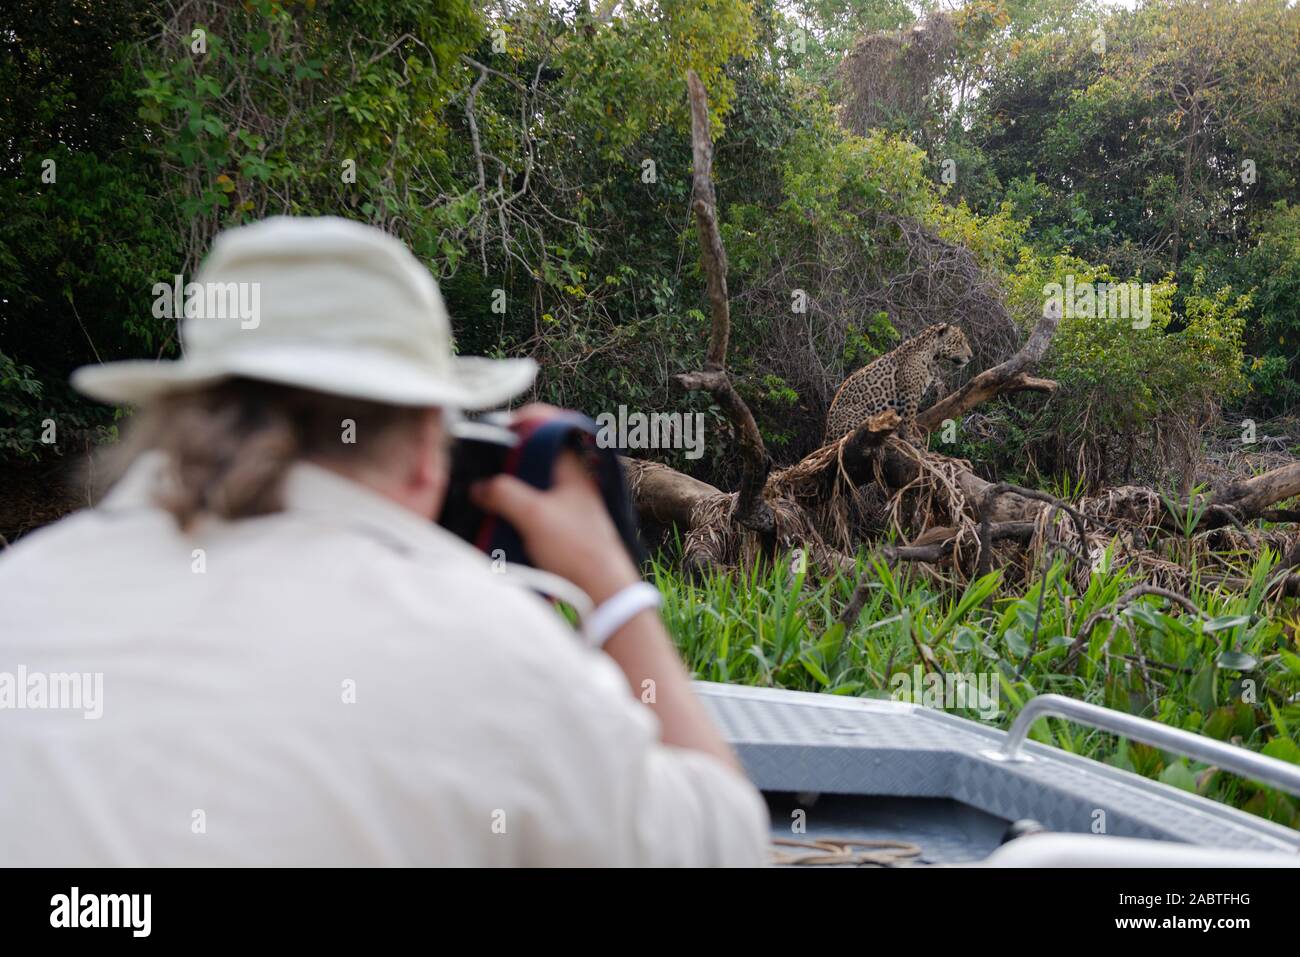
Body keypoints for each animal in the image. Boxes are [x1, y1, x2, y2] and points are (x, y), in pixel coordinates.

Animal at [825, 322, 973, 445]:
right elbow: (908, 418)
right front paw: (911, 439)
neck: (933, 359)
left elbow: (908, 419)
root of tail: (827, 437)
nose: (971, 356)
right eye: (959, 343)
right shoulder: (910, 395)